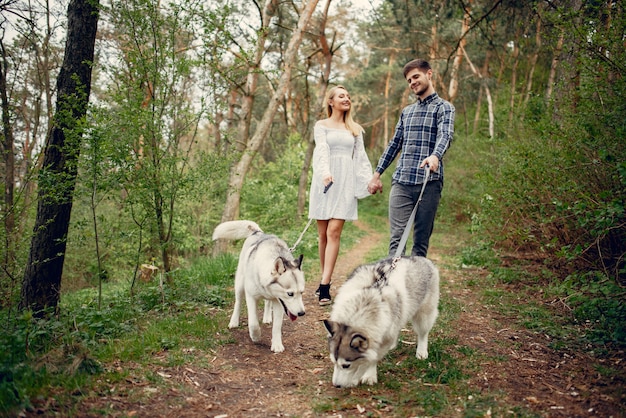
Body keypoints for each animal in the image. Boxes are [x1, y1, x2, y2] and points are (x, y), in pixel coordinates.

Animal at [212, 219, 304, 352]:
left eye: (302, 292)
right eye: (290, 294)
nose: (302, 313)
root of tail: (258, 232)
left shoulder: (279, 302)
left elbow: (277, 326)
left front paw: (277, 345)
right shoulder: (251, 297)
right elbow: (253, 322)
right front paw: (255, 336)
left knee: (267, 302)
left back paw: (267, 317)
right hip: (240, 284)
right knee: (238, 302)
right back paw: (234, 321)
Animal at [322, 256, 438, 386]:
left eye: (346, 366)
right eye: (333, 362)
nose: (336, 385)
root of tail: (423, 259)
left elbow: (372, 359)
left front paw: (368, 375)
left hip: (424, 315)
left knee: (423, 334)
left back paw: (421, 351)